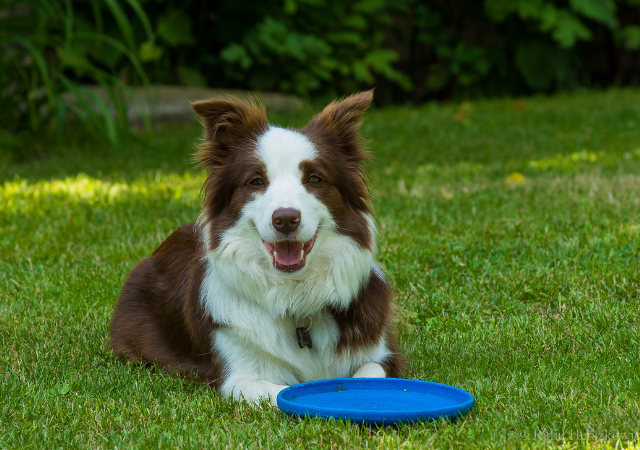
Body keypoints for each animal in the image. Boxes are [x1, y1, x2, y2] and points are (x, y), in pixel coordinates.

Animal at [108, 90, 402, 404]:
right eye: (256, 181)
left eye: (314, 179)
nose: (285, 219)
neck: (295, 297)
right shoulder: (239, 377)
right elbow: (282, 393)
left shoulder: (383, 356)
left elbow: (369, 375)